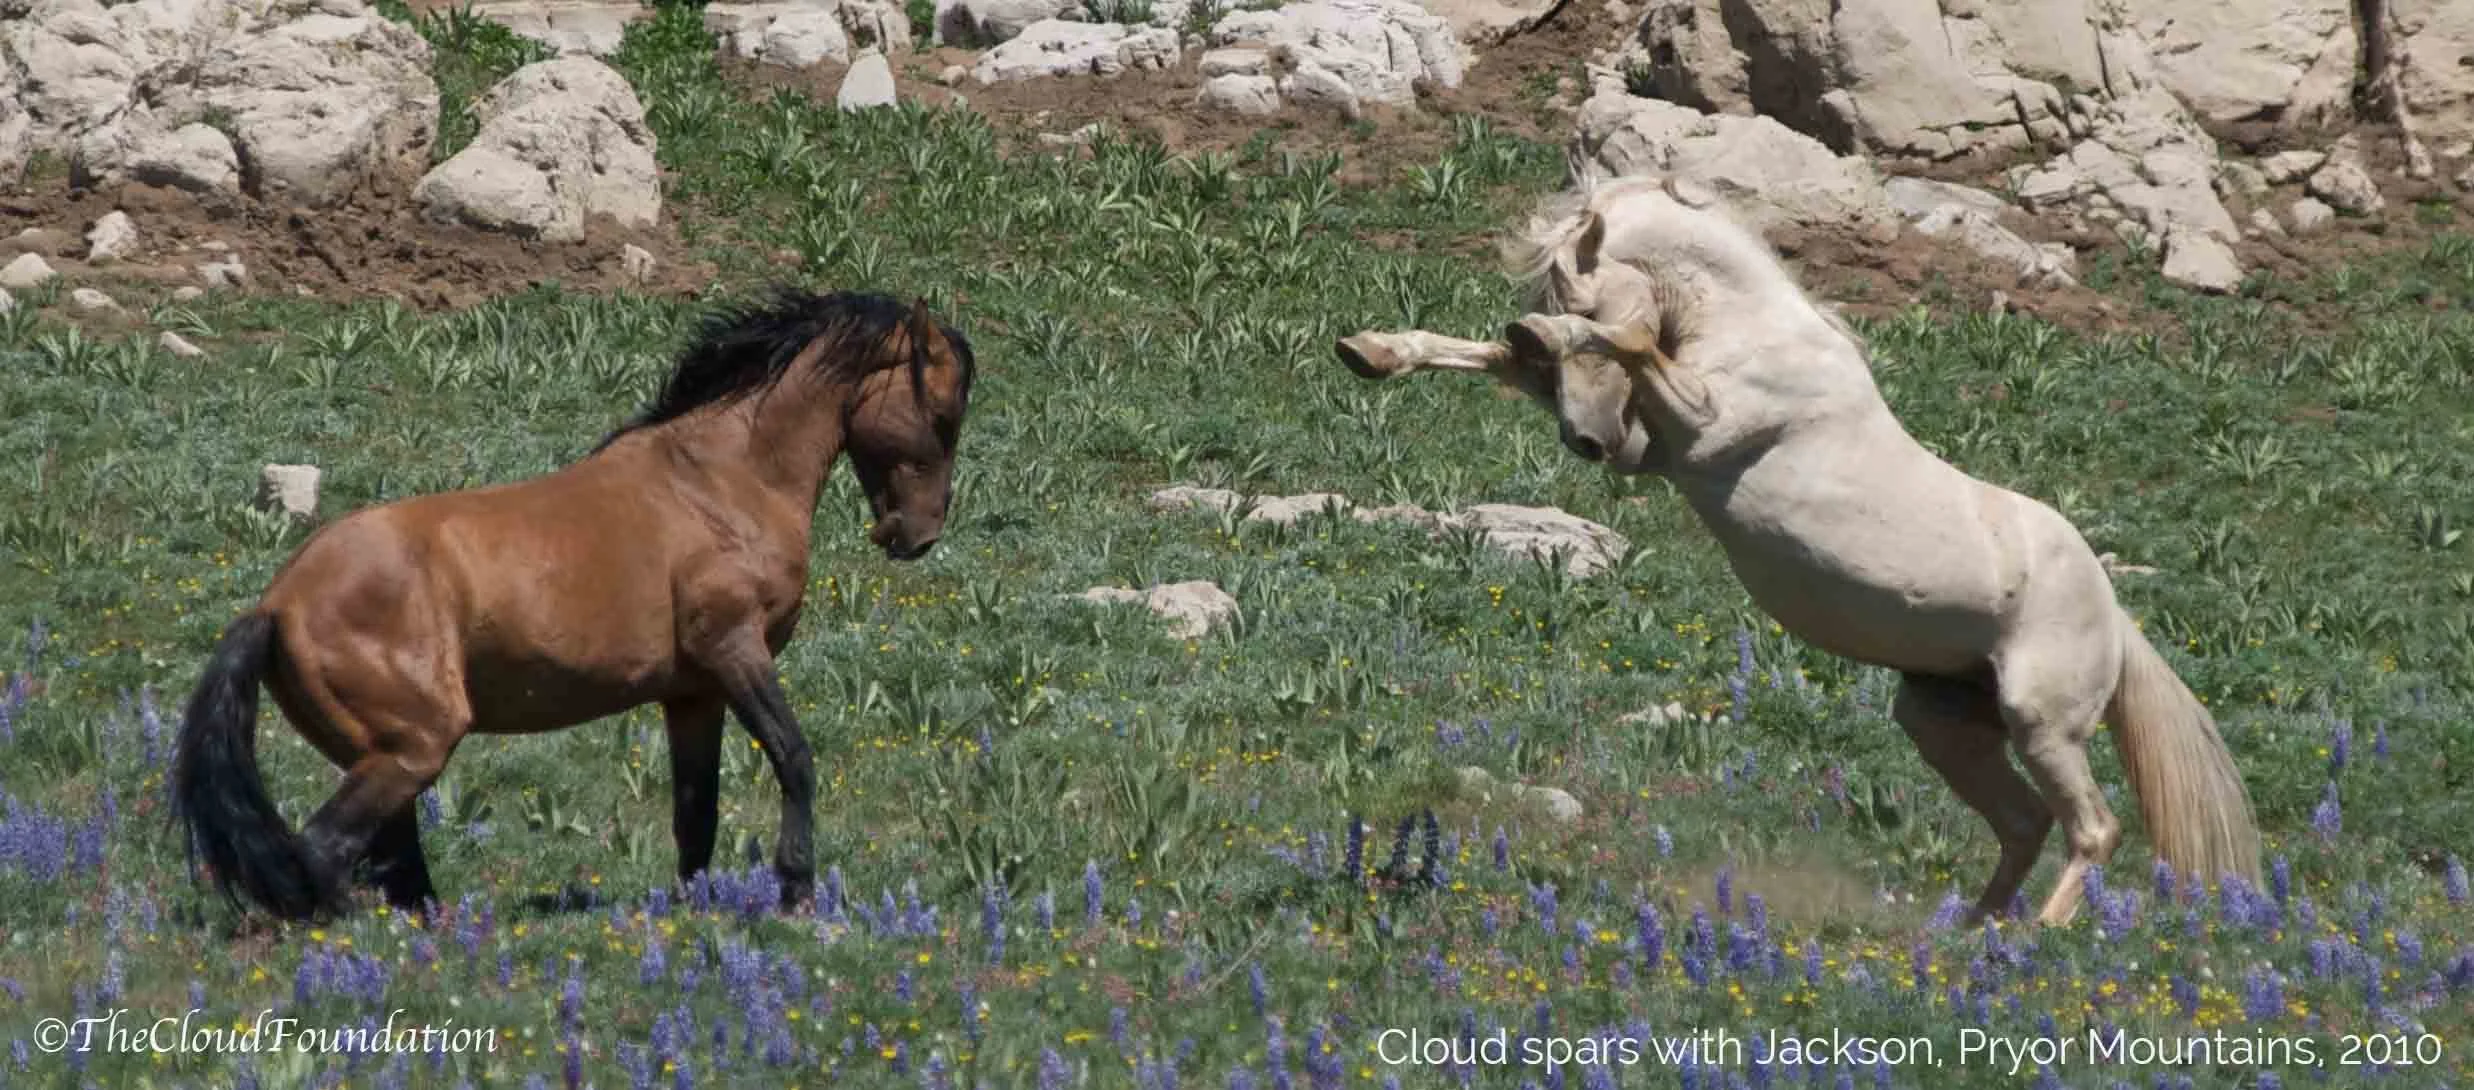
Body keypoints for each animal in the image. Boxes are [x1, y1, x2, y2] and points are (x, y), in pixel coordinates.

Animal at [170, 287, 978, 924]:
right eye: (942, 413)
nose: (918, 535)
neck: (719, 484)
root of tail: (276, 605)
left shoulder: (693, 694)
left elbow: (696, 812)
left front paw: (690, 908)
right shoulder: (735, 652)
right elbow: (795, 759)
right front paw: (797, 892)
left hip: (385, 755)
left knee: (391, 861)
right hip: (414, 748)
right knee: (326, 850)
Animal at [1333, 173, 2260, 928]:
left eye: (1583, 300)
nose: (1587, 442)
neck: (1752, 337)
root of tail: (2115, 613)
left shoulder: (1685, 427)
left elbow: (1633, 345)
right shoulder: (1651, 450)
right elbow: (1486, 356)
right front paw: (1374, 350)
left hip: (2044, 723)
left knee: (2092, 829)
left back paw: (2029, 942)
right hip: (1942, 721)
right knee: (2025, 824)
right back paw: (1964, 937)